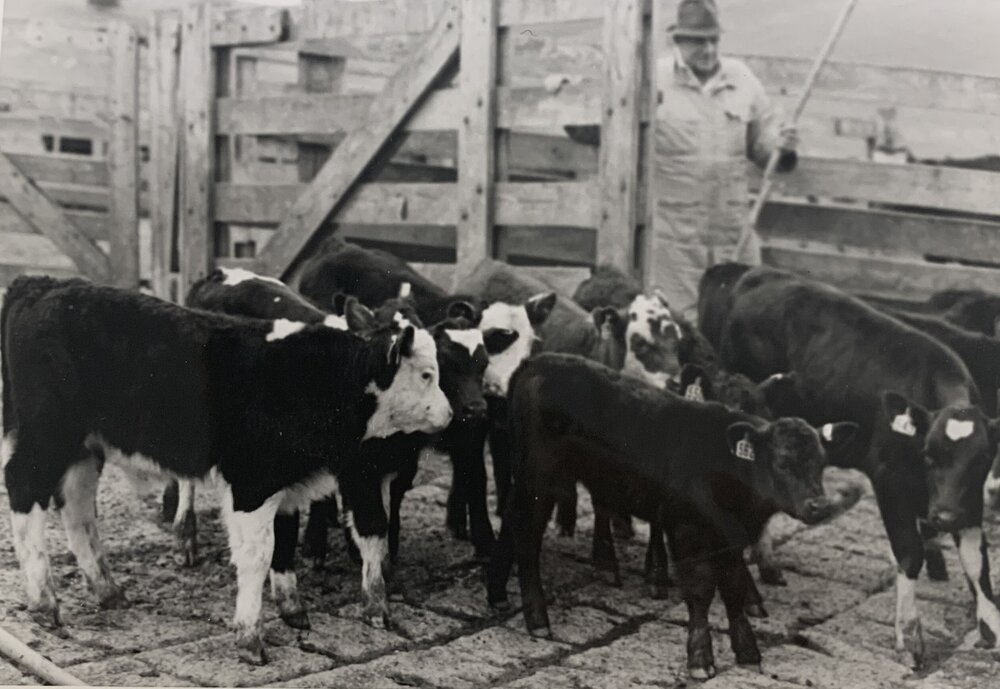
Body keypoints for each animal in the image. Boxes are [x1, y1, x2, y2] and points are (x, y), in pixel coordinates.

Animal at [1, 276, 452, 664]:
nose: (449, 415)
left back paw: (107, 590)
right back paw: (44, 601)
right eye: (426, 374)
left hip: (84, 446)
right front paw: (250, 636)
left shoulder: (287, 482)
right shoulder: (254, 482)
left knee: (77, 508)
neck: (322, 378)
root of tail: (40, 284)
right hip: (48, 434)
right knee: (24, 492)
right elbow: (258, 554)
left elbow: (289, 540)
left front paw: (294, 608)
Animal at [487, 352, 856, 680]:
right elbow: (701, 591)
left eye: (822, 463)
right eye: (781, 463)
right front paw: (701, 659)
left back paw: (497, 596)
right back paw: (537, 619)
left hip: (525, 475)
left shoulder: (729, 537)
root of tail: (536, 361)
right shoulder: (686, 529)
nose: (817, 505)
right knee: (527, 538)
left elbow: (734, 589)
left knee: (509, 521)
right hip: (541, 479)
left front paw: (748, 653)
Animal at [717, 266, 1000, 668]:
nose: (944, 517)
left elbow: (978, 561)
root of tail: (760, 274)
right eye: (930, 456)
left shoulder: (967, 500)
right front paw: (908, 636)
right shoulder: (890, 482)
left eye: (981, 461)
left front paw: (991, 628)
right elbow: (909, 553)